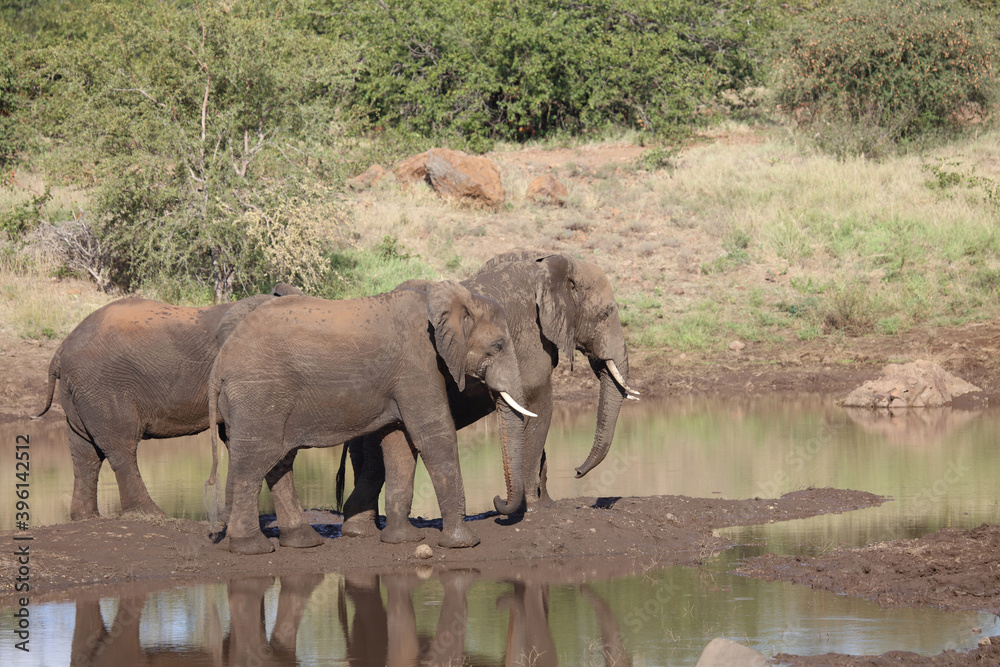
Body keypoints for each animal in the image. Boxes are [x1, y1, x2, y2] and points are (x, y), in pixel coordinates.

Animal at [32, 283, 303, 520]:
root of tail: (61, 349)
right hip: (101, 388)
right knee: (120, 447)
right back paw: (151, 515)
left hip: (78, 393)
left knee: (84, 451)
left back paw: (86, 517)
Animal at [207, 280, 535, 555]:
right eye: (498, 346)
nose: (497, 501)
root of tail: (219, 363)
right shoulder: (417, 364)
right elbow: (433, 437)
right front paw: (463, 543)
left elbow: (399, 444)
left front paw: (403, 540)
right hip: (258, 394)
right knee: (253, 463)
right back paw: (252, 548)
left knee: (279, 462)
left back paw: (302, 542)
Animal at [338, 250, 638, 536]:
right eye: (605, 314)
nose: (576, 471)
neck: (548, 262)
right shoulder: (533, 338)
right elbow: (538, 407)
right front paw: (535, 508)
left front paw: (545, 504)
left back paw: (360, 529)